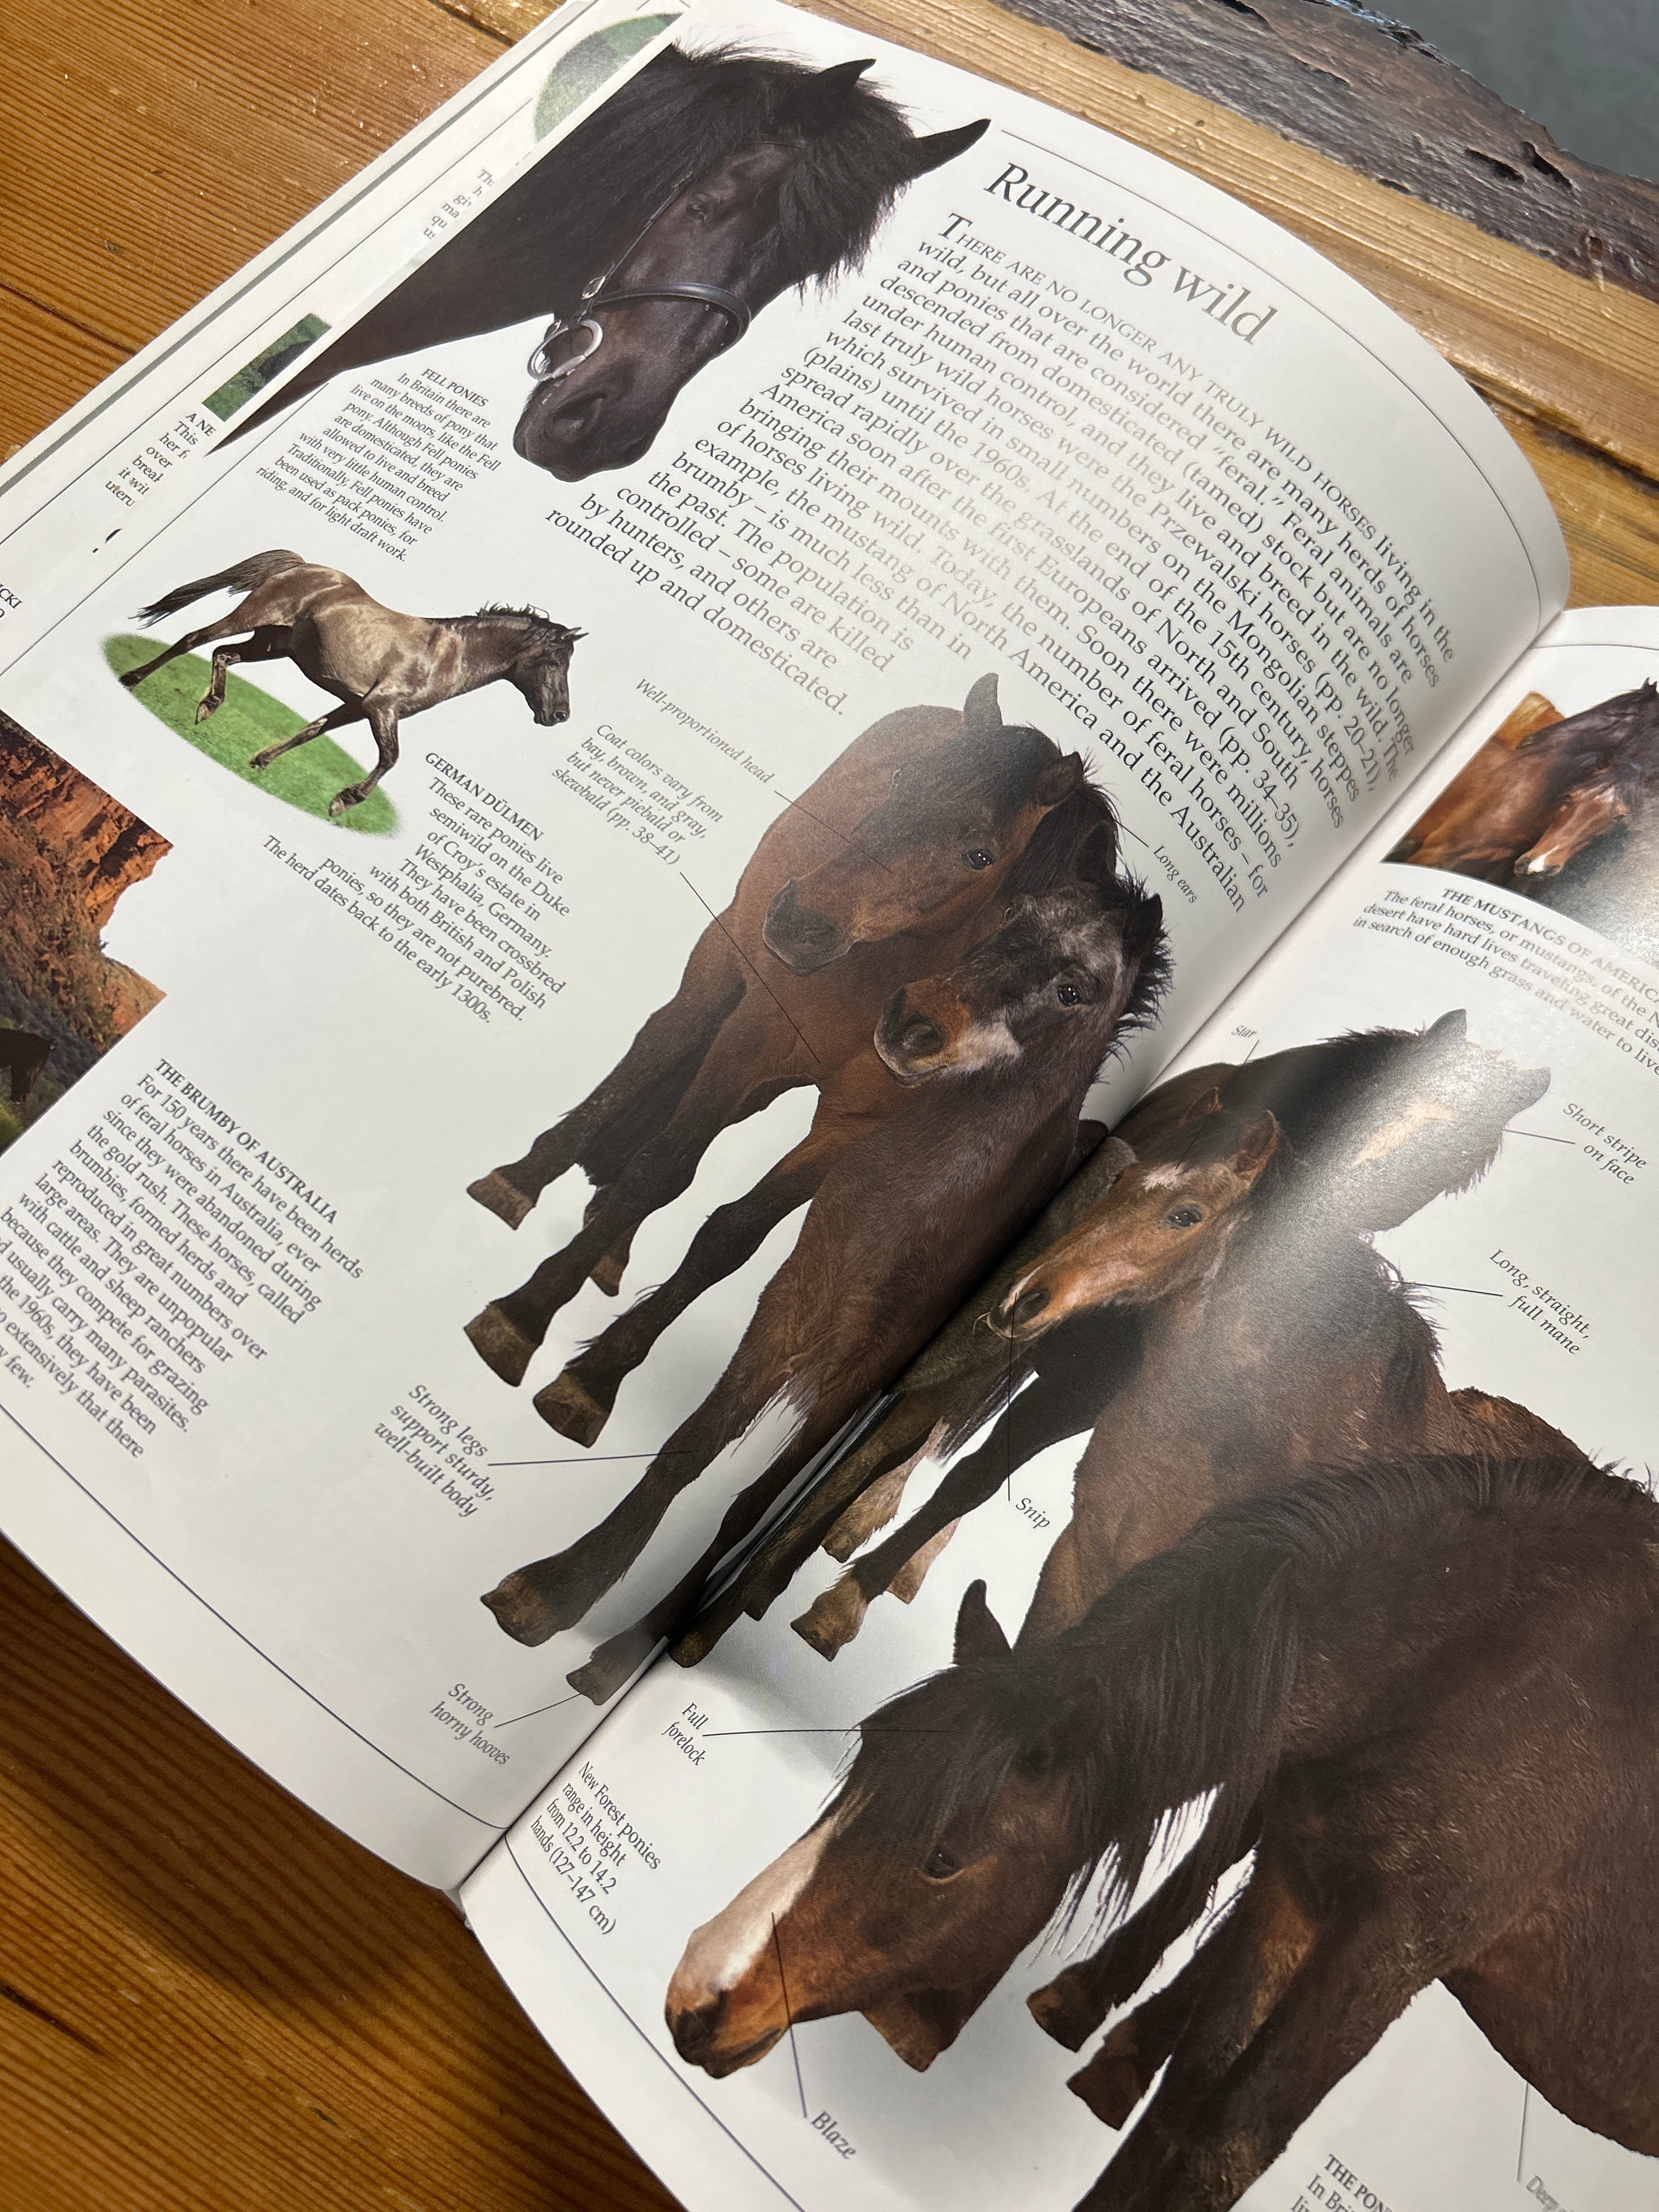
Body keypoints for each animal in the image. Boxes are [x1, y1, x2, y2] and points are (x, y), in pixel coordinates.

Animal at [117, 550, 580, 815]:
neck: (444, 655)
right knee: (193, 640)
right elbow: (391, 758)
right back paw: (133, 679)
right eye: (556, 660)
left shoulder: (356, 708)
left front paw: (260, 762)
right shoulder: (381, 709)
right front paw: (343, 801)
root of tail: (303, 565)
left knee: (221, 655)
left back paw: (207, 707)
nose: (559, 715)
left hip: (270, 644)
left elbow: (312, 731)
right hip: (250, 619)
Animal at [462, 677, 1091, 1385]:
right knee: (661, 1044)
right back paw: (521, 1181)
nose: (798, 922)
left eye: (980, 854)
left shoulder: (852, 1131)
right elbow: (657, 1168)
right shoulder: (749, 1042)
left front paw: (596, 1378)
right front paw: (522, 1318)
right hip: (722, 962)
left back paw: (609, 1249)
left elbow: (731, 1234)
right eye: (904, 780)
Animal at [479, 843, 1166, 1655]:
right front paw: (563, 1587)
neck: (914, 1209)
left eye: (1073, 989)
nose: (913, 1022)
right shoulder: (794, 1301)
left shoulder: (858, 1371)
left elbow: (751, 1505)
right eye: (1016, 913)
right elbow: (696, 1441)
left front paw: (644, 1637)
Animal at [667, 1454, 1659, 2212]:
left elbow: (1226, 2143)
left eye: (942, 1860)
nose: (696, 1998)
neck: (1494, 1667)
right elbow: (1179, 2110)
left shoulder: (1396, 1945)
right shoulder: (1296, 1890)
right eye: (861, 1767)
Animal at [670, 1011, 1550, 1662]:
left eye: (1447, 1168)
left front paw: (837, 1597)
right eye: (1372, 1096)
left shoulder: (1085, 1393)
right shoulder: (994, 1338)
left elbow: (975, 1479)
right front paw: (736, 1601)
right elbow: (897, 1441)